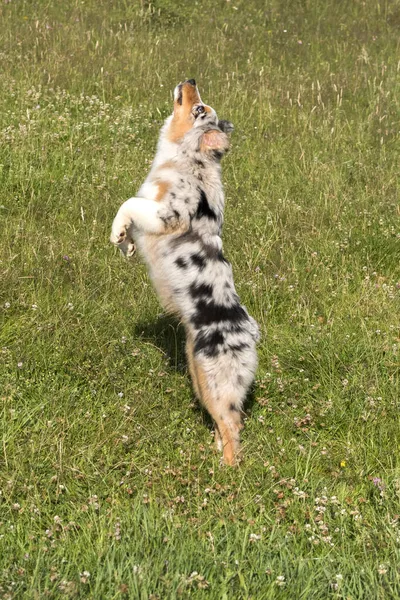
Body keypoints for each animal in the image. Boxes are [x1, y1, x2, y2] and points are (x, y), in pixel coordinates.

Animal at [110, 79, 260, 464]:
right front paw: (125, 244)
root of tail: (250, 333)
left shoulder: (166, 214)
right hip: (198, 375)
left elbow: (128, 203)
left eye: (199, 109)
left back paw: (225, 470)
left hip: (216, 379)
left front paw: (116, 232)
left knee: (233, 426)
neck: (189, 158)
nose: (190, 80)